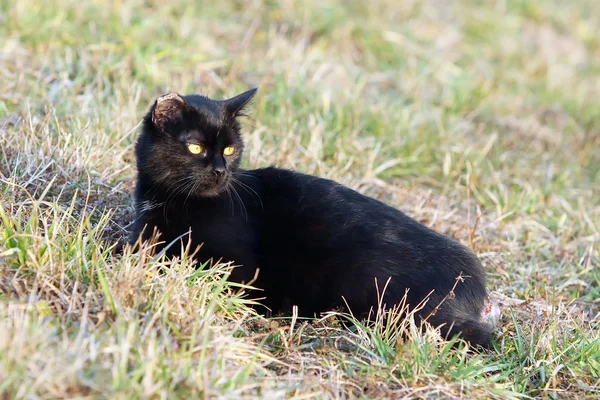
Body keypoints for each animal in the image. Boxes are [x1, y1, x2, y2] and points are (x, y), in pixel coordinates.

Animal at [130, 89, 496, 348]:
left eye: (230, 149)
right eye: (195, 148)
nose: (221, 171)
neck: (173, 199)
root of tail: (478, 286)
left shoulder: (239, 265)